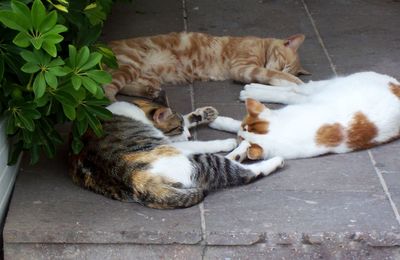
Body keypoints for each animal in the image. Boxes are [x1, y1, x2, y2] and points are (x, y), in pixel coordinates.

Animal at [68, 98, 284, 208]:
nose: (187, 135)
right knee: (241, 172)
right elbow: (200, 144)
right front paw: (225, 141)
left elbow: (188, 116)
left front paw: (202, 114)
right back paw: (272, 159)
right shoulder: (176, 144)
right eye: (178, 129)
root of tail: (138, 182)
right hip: (193, 162)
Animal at [104, 32, 310, 101]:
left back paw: (149, 92)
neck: (262, 45)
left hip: (146, 75)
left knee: (124, 87)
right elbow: (270, 73)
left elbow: (268, 74)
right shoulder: (242, 67)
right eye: (283, 64)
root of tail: (100, 45)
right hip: (129, 65)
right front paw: (293, 81)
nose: (282, 68)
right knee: (107, 91)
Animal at [209, 71, 400, 160]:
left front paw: (218, 123)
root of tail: (397, 86)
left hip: (319, 92)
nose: (238, 137)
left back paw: (252, 90)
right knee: (299, 88)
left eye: (240, 139)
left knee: (296, 91)